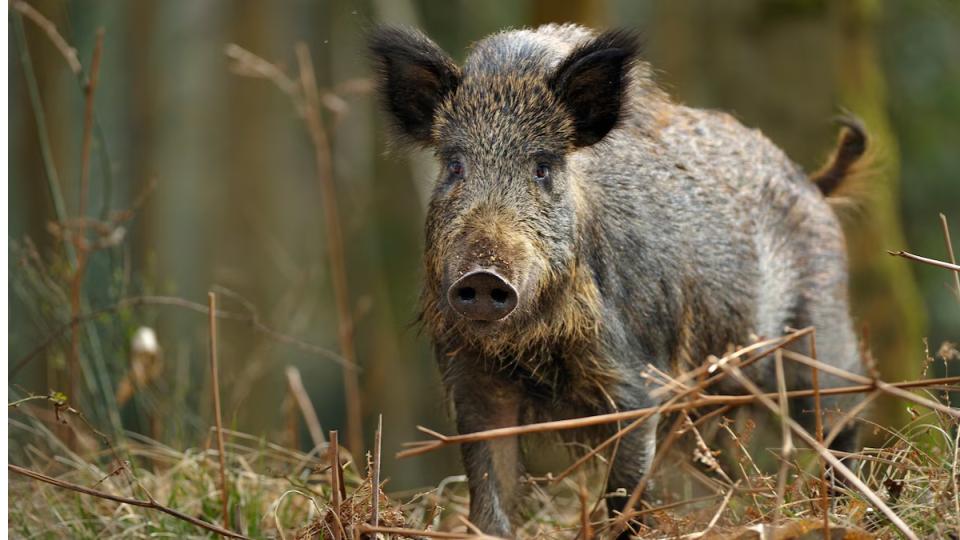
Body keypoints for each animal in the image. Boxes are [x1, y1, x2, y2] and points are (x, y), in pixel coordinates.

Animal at [369, 23, 864, 537]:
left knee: (844, 415)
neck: (534, 346)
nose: (485, 276)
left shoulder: (635, 380)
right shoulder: (472, 380)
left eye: (542, 168)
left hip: (821, 335)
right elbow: (490, 492)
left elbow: (625, 492)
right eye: (454, 166)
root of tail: (814, 185)